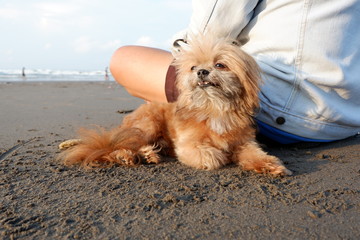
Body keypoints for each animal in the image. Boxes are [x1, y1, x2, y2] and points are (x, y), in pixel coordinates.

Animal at [57, 34, 292, 176]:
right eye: (193, 67)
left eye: (220, 65)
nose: (202, 71)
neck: (215, 108)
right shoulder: (189, 145)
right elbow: (212, 156)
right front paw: (220, 156)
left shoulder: (245, 143)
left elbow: (255, 154)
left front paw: (269, 165)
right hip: (148, 125)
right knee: (120, 145)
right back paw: (128, 155)